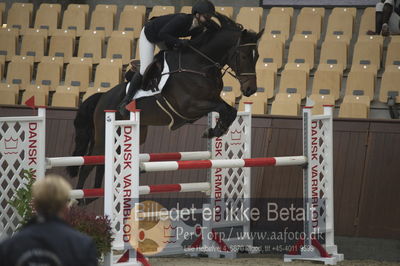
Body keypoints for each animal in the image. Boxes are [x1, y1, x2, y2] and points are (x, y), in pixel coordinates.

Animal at [67, 13, 264, 190]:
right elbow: (224, 109)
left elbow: (230, 110)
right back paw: (81, 198)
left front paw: (216, 130)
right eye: (244, 56)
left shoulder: (209, 100)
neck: (200, 64)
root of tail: (102, 96)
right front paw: (214, 130)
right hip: (103, 137)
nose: (250, 90)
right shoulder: (189, 106)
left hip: (134, 133)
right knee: (88, 164)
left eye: (257, 57)